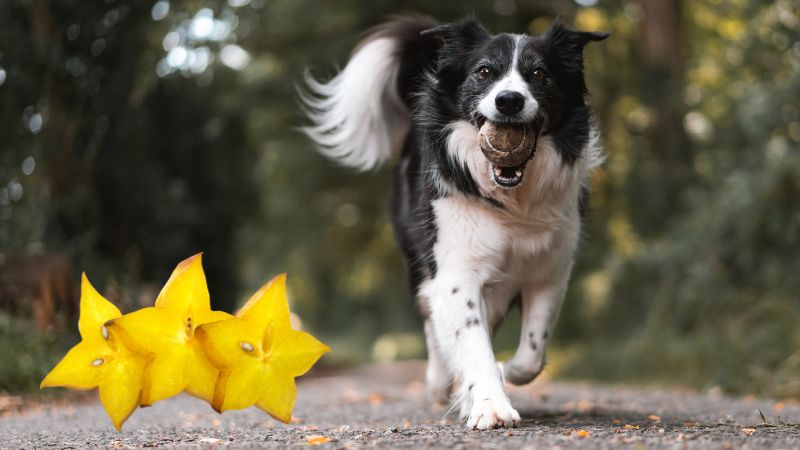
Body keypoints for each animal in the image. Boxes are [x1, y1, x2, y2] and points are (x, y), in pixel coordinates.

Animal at [300, 16, 608, 428]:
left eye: (540, 74)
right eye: (484, 71)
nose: (509, 100)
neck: (512, 200)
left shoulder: (549, 270)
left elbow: (532, 353)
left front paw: (504, 375)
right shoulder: (455, 270)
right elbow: (472, 342)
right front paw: (490, 405)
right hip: (420, 262)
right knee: (433, 323)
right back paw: (439, 382)